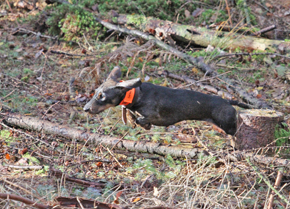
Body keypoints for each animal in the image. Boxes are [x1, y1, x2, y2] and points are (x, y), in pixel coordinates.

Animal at [84, 66, 249, 135]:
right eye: (95, 92)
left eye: (102, 96)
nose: (85, 109)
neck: (138, 95)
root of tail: (228, 102)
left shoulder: (155, 116)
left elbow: (141, 119)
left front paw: (142, 123)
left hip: (229, 126)